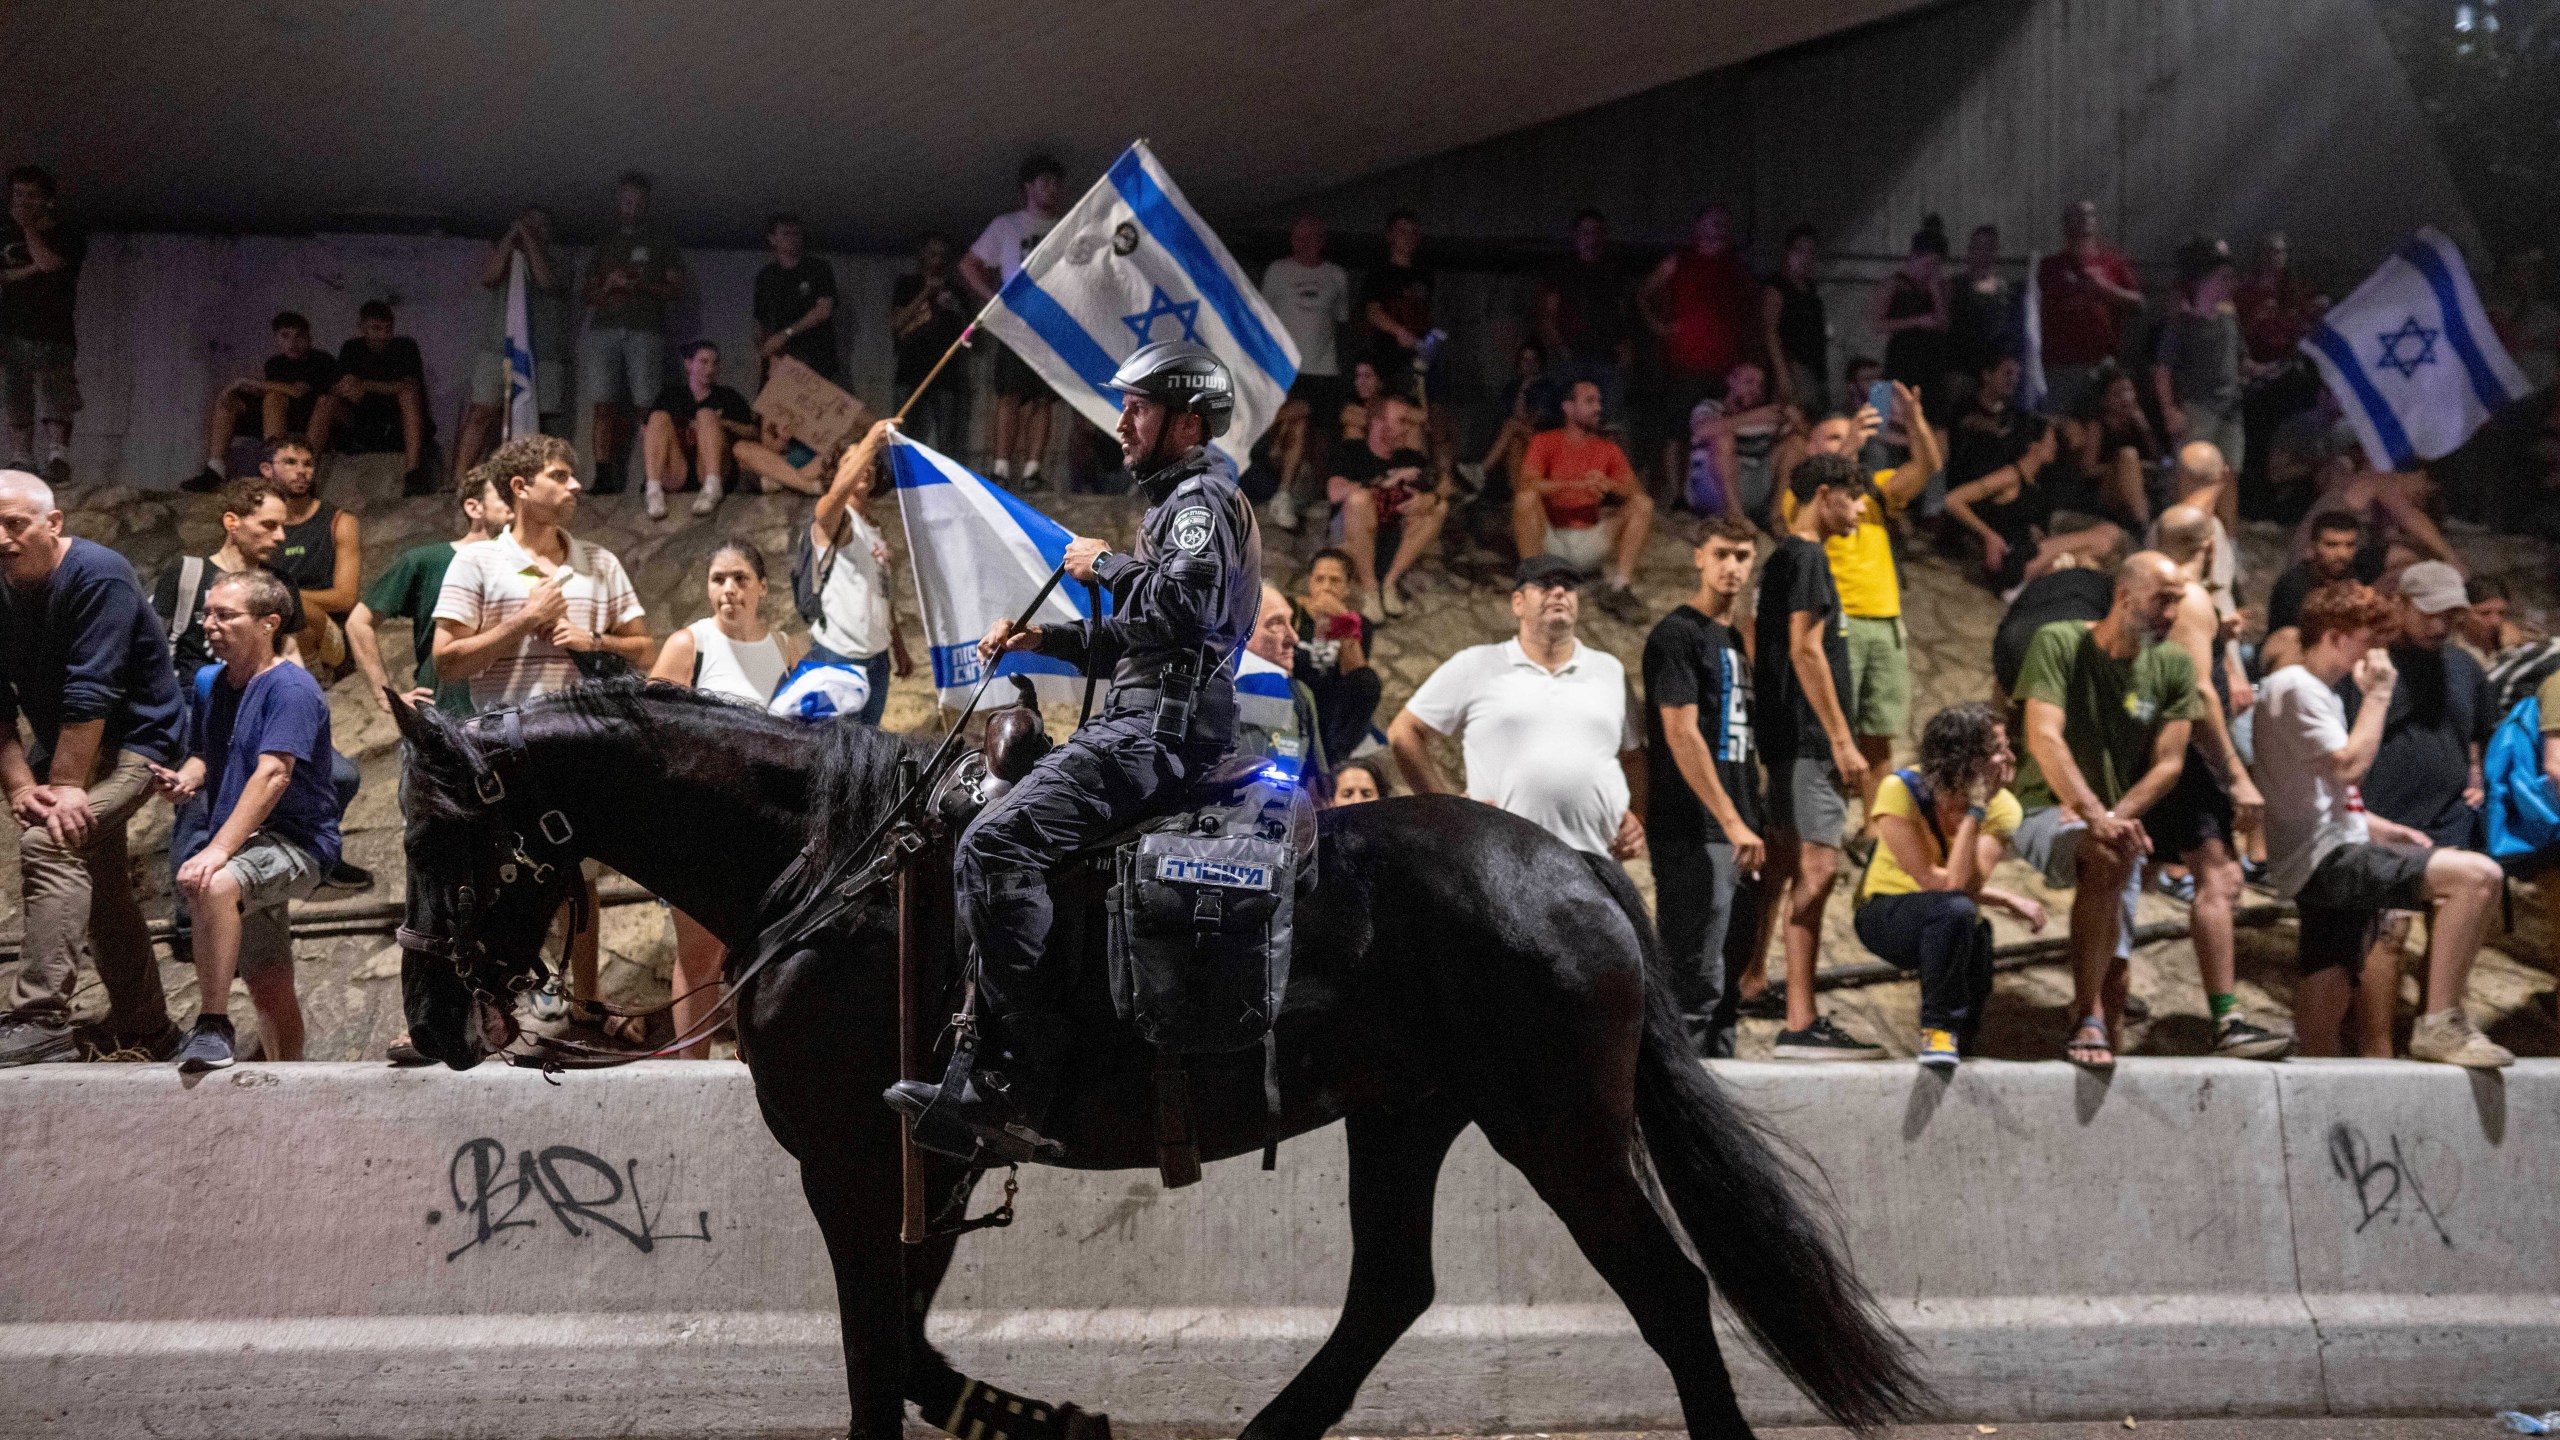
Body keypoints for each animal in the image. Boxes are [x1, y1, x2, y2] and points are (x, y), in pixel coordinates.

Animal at [389, 676, 1925, 1434]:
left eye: (437, 832)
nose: (426, 1019)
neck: (828, 867)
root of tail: (1576, 869)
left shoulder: (856, 1159)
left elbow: (881, 1358)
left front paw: (1027, 1411)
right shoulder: (929, 1161)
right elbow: (909, 1347)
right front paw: (1032, 1412)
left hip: (1556, 1125)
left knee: (1666, 1293)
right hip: (1409, 1115)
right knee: (1390, 1292)